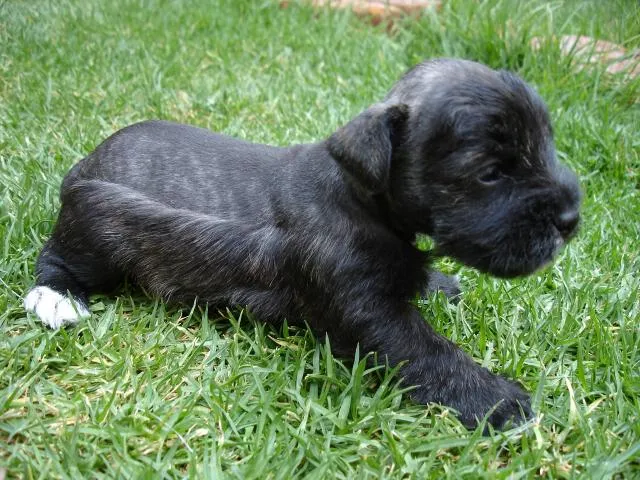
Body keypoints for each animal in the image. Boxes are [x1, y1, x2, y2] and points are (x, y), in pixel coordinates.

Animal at [22, 58, 580, 430]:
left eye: (546, 144)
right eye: (489, 173)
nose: (571, 219)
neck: (360, 196)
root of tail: (83, 166)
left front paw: (437, 282)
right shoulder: (368, 311)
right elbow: (428, 351)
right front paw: (496, 400)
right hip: (98, 230)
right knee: (54, 258)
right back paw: (57, 300)